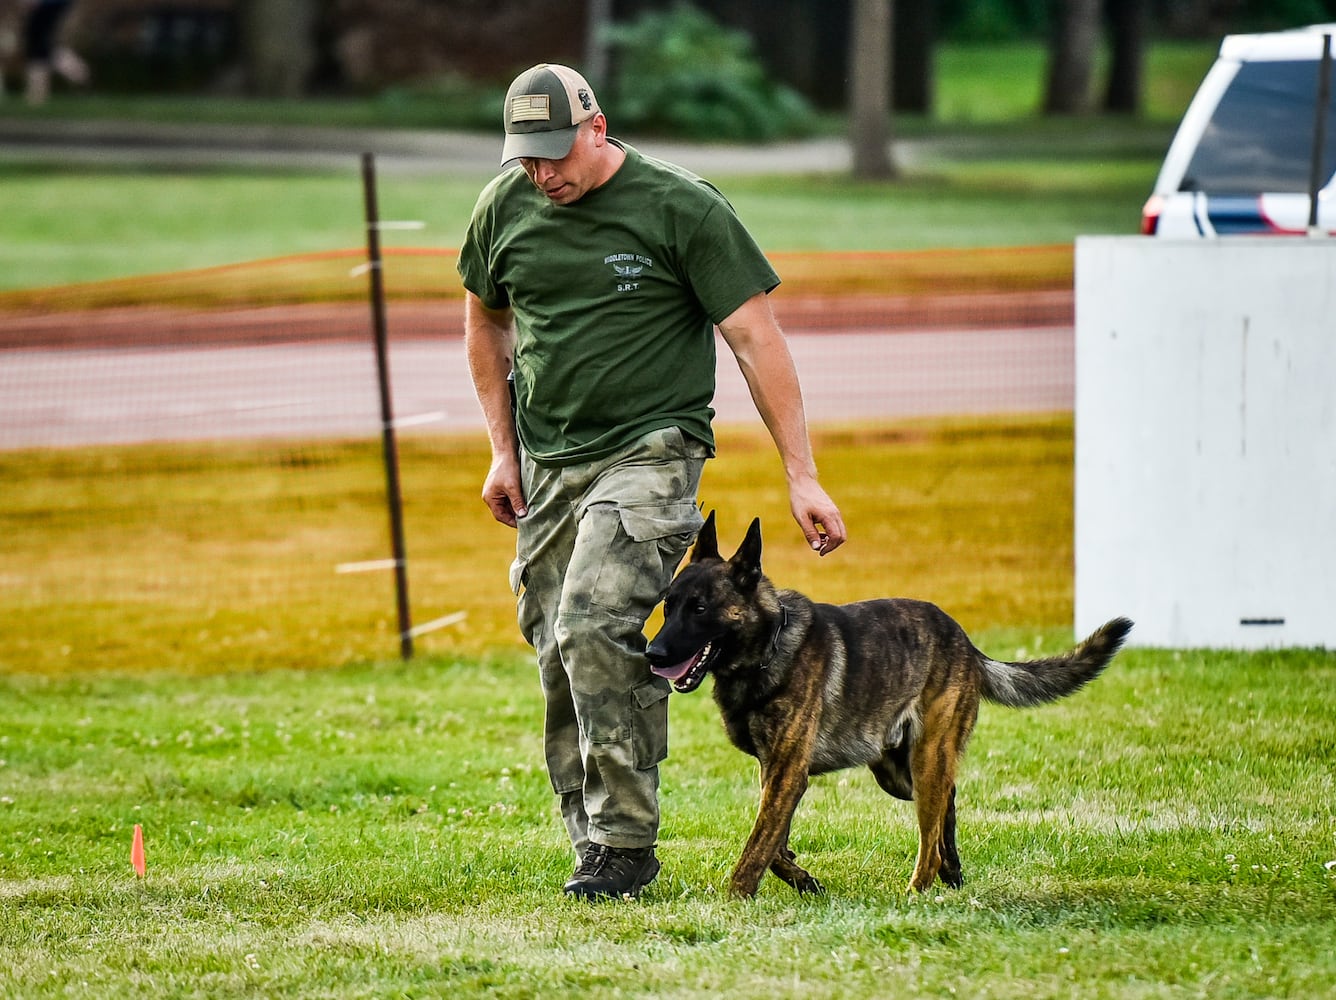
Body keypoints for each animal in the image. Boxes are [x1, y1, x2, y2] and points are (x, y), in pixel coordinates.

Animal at [641, 515, 1132, 897]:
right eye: (667, 606)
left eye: (700, 608)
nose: (652, 654)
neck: (768, 646)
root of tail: (966, 642)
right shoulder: (776, 771)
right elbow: (774, 840)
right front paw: (801, 877)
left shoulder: (787, 772)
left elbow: (757, 843)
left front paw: (735, 898)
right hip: (899, 773)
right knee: (949, 803)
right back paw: (952, 872)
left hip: (926, 759)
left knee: (930, 834)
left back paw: (918, 890)